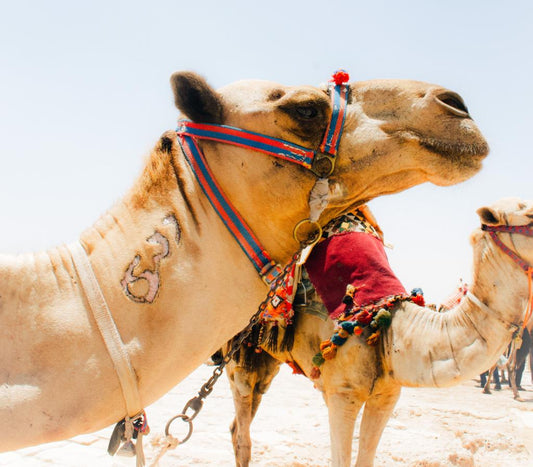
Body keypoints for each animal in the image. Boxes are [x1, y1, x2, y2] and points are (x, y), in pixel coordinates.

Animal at [225, 198, 532, 467]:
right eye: (529, 214)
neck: (385, 326)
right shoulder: (343, 392)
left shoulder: (385, 394)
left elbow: (366, 458)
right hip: (238, 352)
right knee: (242, 431)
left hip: (266, 359)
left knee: (241, 419)